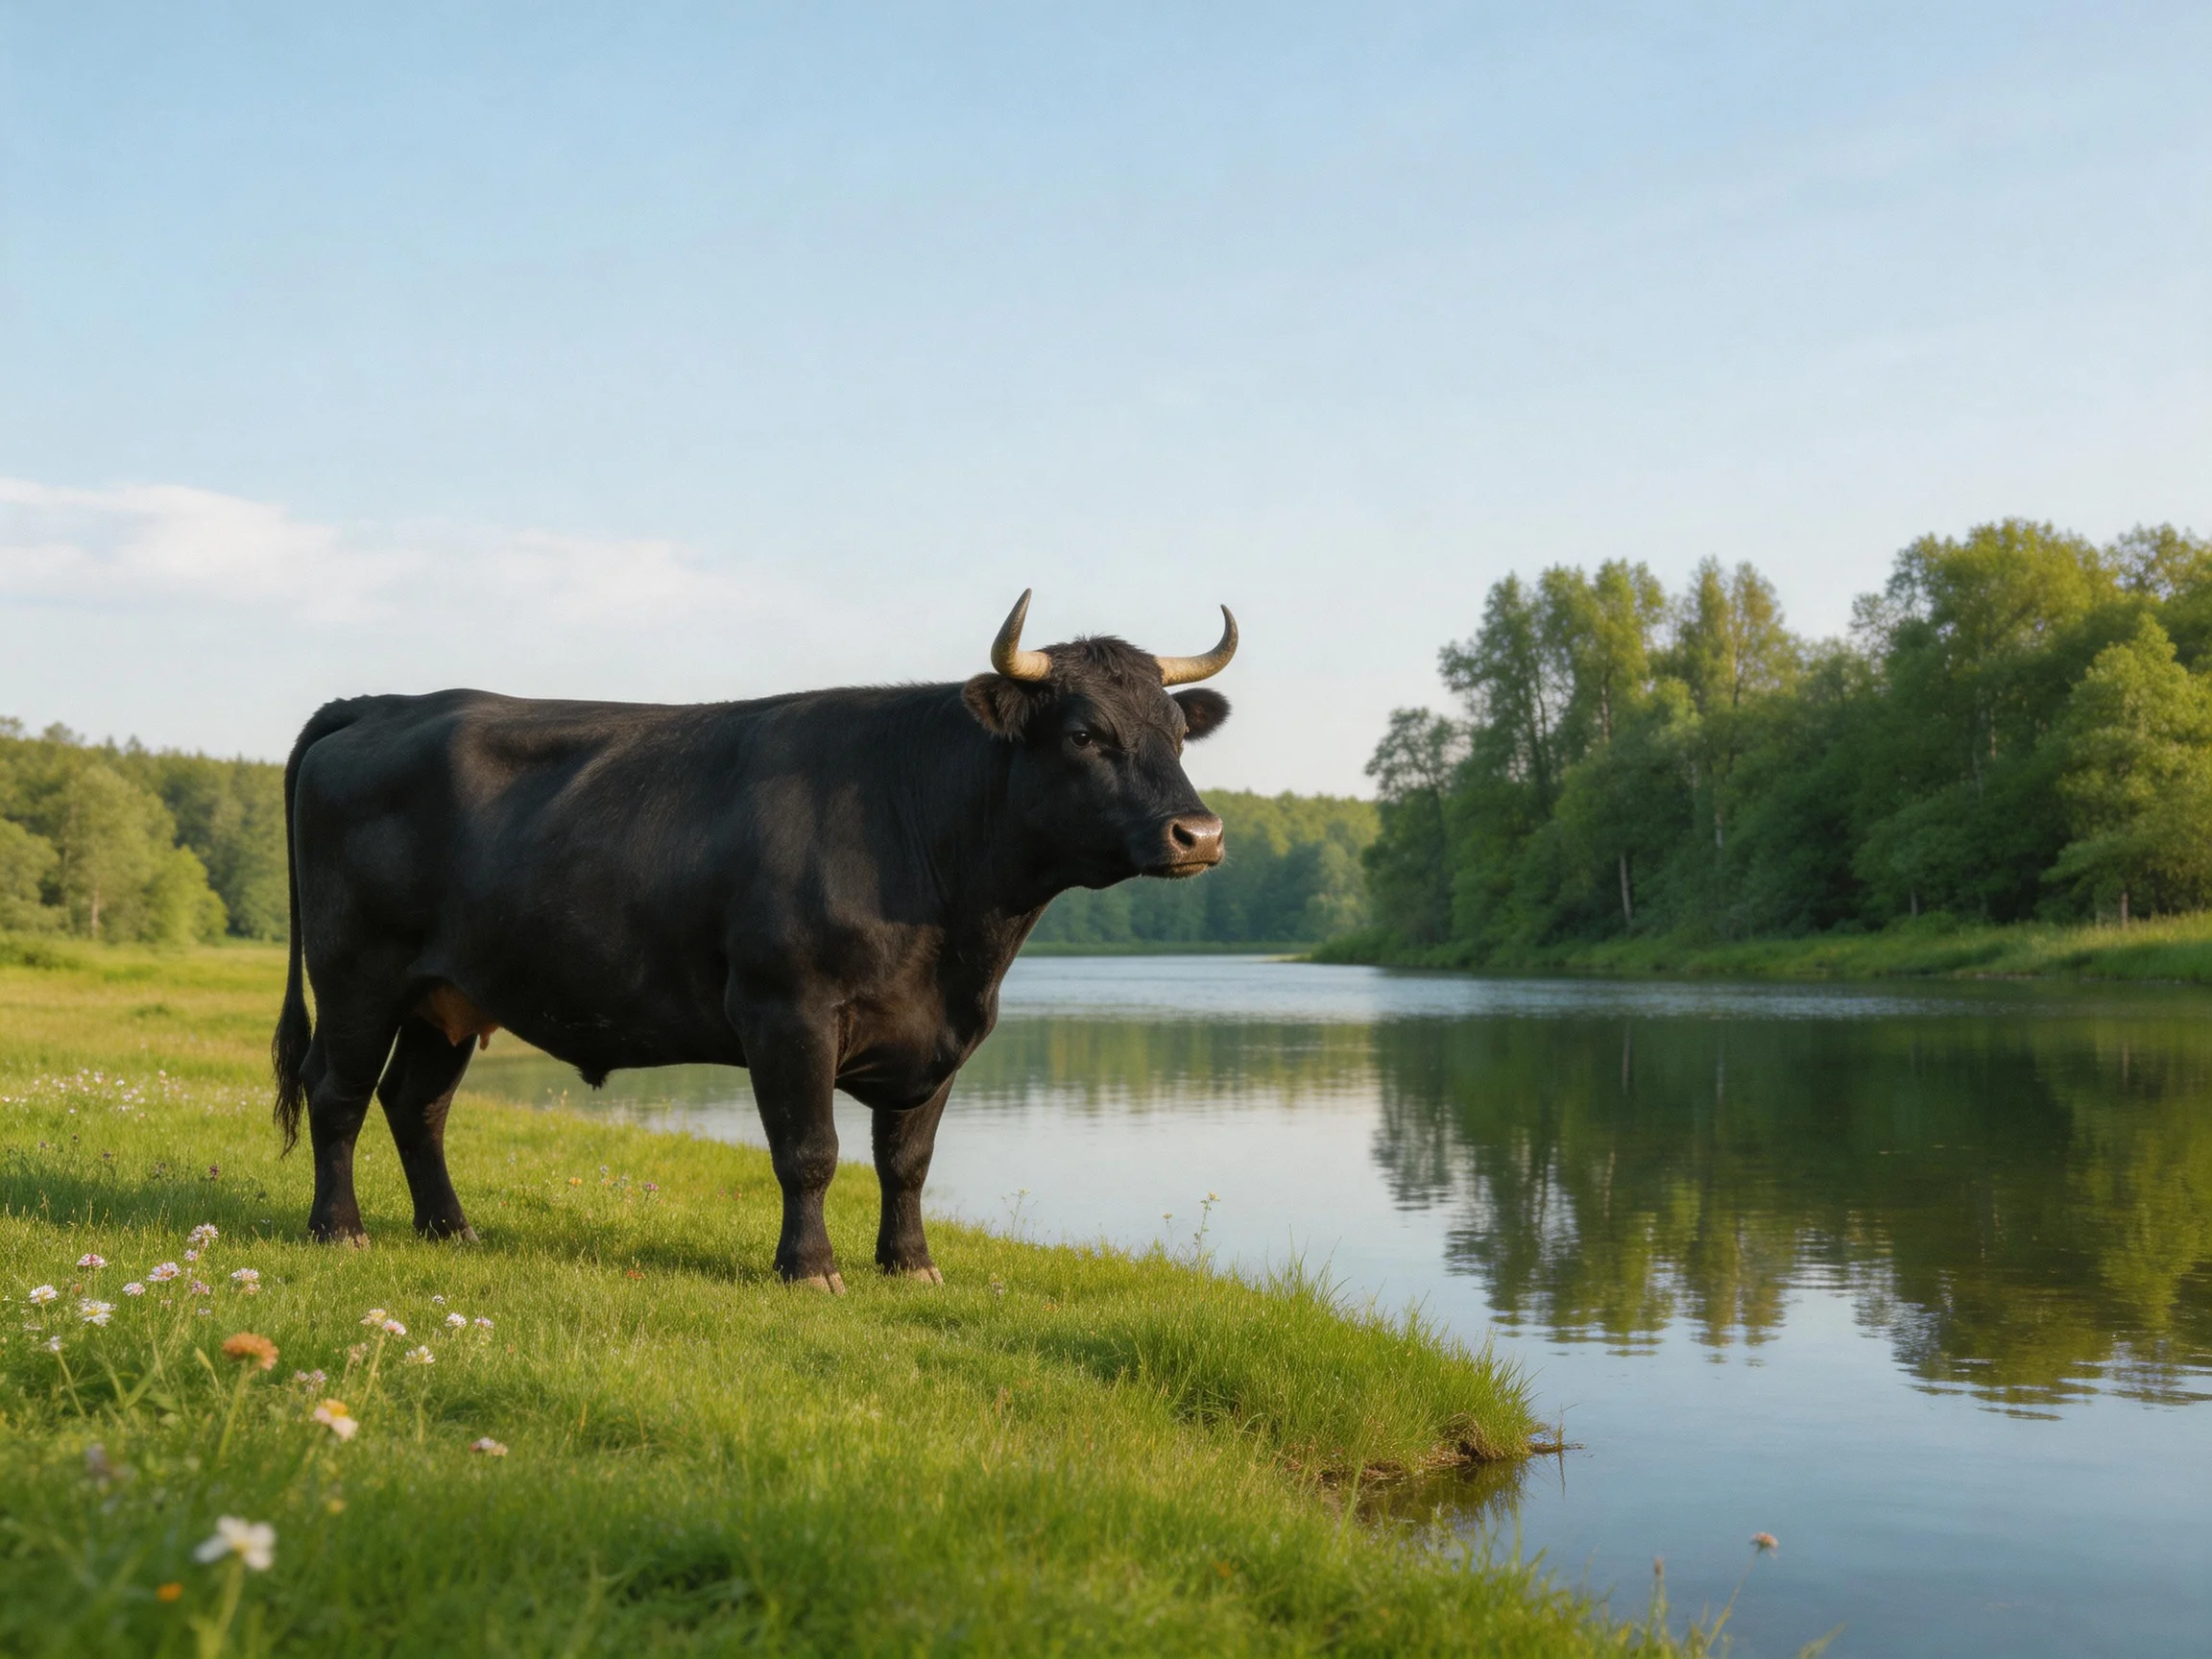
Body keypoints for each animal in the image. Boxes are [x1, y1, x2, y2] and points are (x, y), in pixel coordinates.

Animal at [270, 593, 1235, 1289]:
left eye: (1178, 734)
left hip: (448, 994)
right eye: (1083, 733)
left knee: (416, 1103)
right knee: (337, 1090)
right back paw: (338, 1232)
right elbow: (809, 1153)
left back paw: (452, 1230)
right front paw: (810, 1270)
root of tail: (380, 704)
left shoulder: (946, 1034)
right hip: (358, 973)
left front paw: (912, 1266)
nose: (1199, 833)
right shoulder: (786, 1010)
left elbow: (907, 1162)